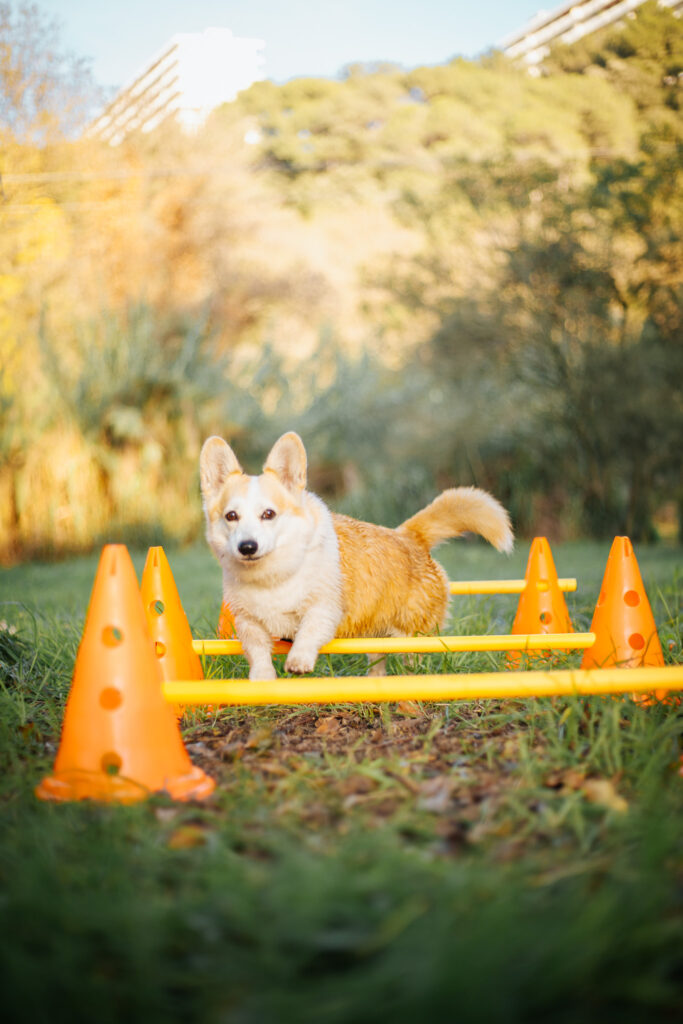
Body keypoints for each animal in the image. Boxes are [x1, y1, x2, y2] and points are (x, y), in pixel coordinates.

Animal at [201, 432, 511, 679]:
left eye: (269, 514)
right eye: (231, 516)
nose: (247, 547)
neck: (273, 578)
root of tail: (409, 536)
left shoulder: (324, 609)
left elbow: (308, 631)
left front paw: (298, 660)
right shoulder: (247, 622)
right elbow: (257, 650)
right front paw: (262, 676)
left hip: (412, 636)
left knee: (412, 659)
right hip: (375, 637)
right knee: (377, 661)